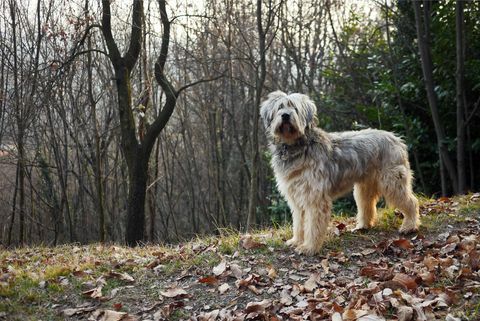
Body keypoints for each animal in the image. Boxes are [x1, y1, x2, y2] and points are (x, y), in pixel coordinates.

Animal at [258, 90, 420, 255]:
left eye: (295, 108)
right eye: (280, 107)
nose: (285, 115)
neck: (296, 146)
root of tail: (396, 139)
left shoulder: (314, 198)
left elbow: (313, 225)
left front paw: (309, 247)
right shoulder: (296, 197)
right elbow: (299, 222)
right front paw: (296, 240)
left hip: (392, 182)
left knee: (411, 202)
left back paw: (409, 226)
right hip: (364, 187)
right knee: (367, 205)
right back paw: (363, 226)